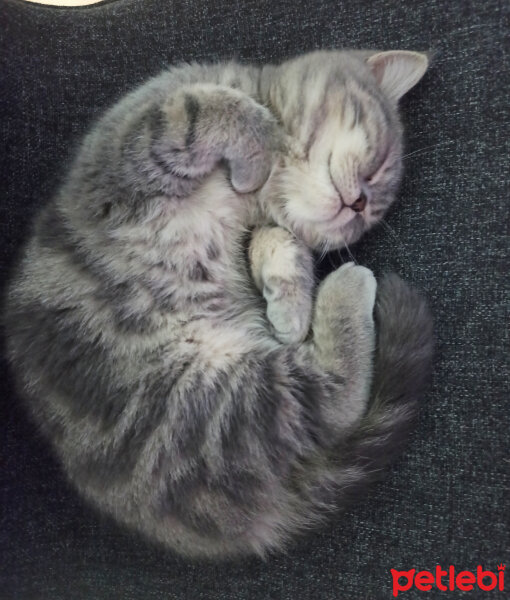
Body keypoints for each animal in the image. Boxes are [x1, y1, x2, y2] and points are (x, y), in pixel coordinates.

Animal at [3, 50, 434, 556]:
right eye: (378, 166)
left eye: (369, 216)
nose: (361, 204)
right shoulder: (130, 147)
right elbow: (216, 111)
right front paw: (258, 149)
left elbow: (277, 236)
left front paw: (291, 301)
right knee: (330, 402)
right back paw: (345, 285)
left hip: (224, 403)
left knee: (331, 399)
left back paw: (340, 290)